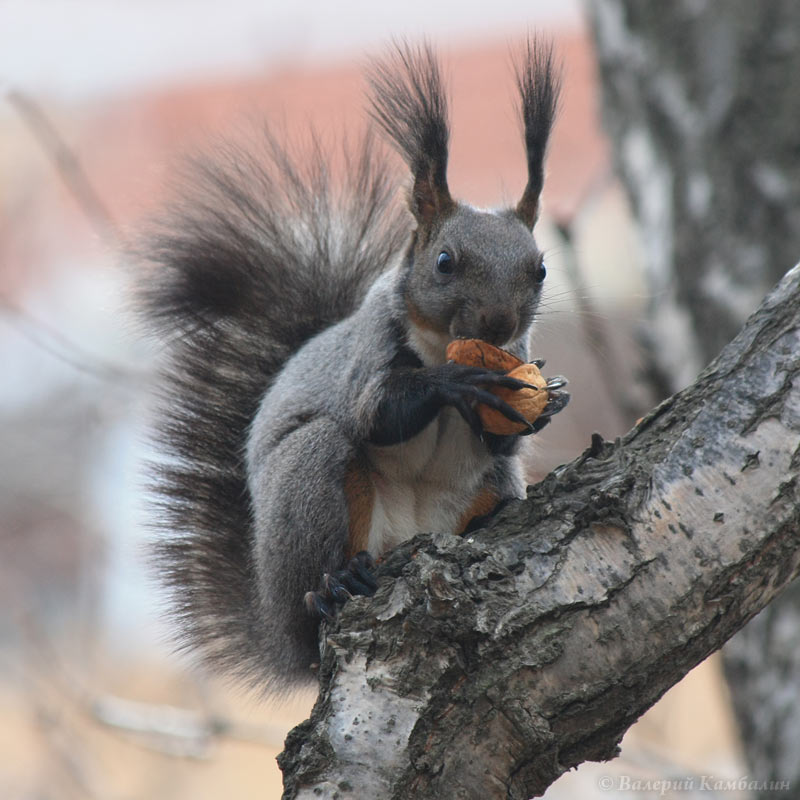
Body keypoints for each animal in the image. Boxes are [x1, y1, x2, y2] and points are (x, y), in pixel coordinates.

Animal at [141, 37, 568, 692]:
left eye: (540, 269)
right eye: (445, 261)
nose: (498, 323)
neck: (436, 342)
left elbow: (503, 435)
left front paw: (550, 402)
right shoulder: (369, 355)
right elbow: (376, 414)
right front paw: (454, 382)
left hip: (487, 487)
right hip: (309, 483)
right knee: (319, 562)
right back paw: (333, 588)